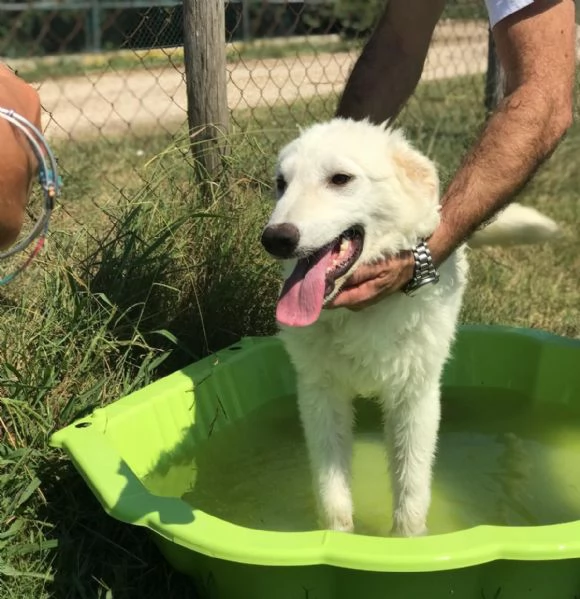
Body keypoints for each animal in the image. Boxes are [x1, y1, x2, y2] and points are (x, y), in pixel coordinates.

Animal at [262, 118, 556, 540]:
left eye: (340, 178)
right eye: (281, 183)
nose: (275, 239)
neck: (364, 315)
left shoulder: (414, 398)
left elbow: (411, 493)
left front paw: (407, 546)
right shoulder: (320, 395)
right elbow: (333, 496)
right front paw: (337, 539)